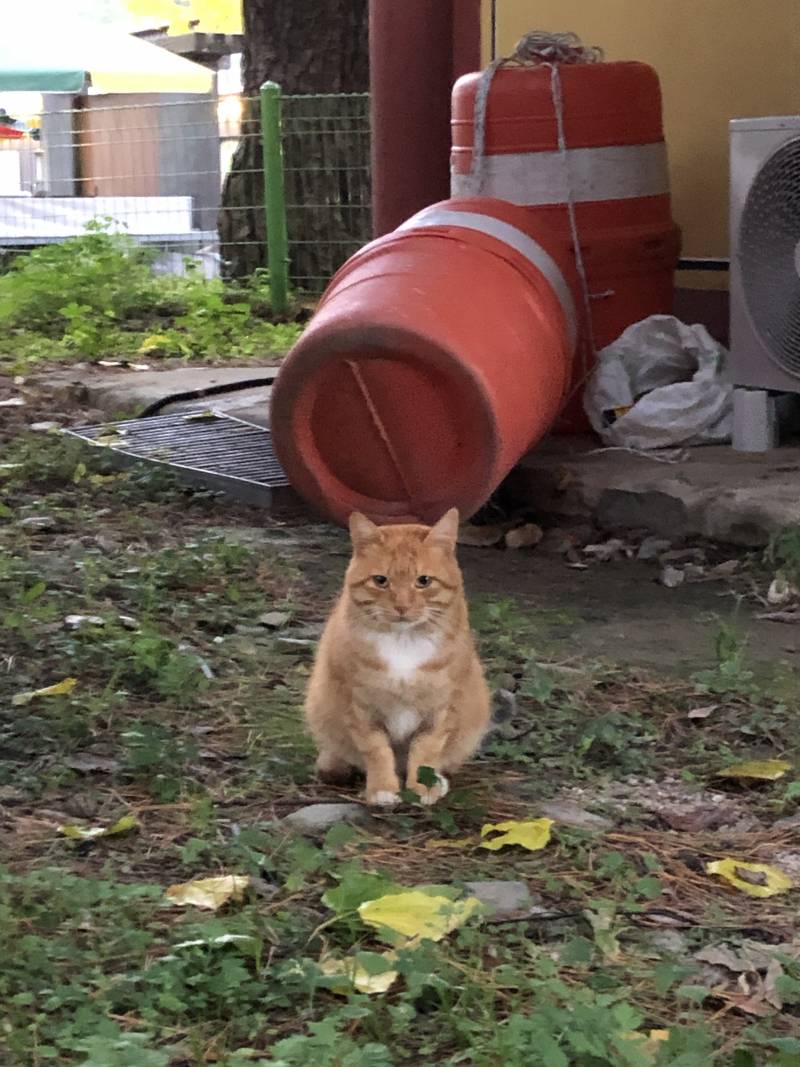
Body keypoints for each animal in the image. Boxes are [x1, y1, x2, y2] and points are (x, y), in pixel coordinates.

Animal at [307, 505, 492, 802]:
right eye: (381, 580)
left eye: (423, 581)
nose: (402, 606)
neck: (404, 643)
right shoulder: (360, 708)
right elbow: (376, 751)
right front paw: (382, 788)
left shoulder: (440, 710)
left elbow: (426, 751)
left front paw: (423, 787)